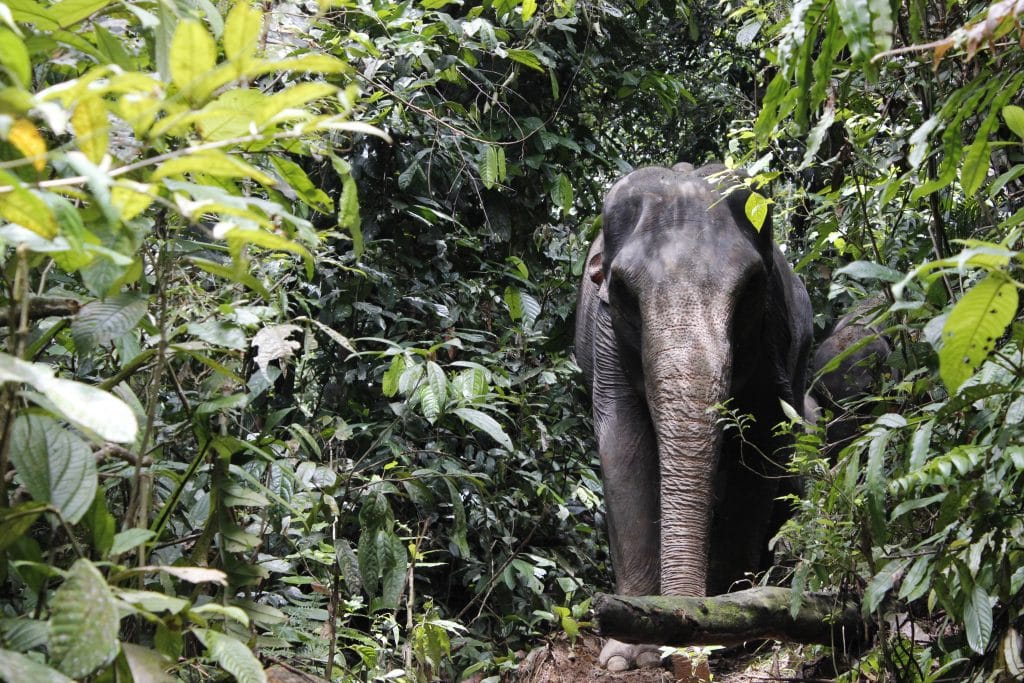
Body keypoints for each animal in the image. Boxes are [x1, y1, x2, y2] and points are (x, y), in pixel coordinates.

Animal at [575, 163, 814, 671]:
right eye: (623, 290)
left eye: (750, 286)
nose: (687, 647)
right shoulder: (607, 337)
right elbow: (622, 441)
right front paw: (627, 656)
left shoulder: (773, 333)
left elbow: (764, 437)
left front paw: (732, 628)